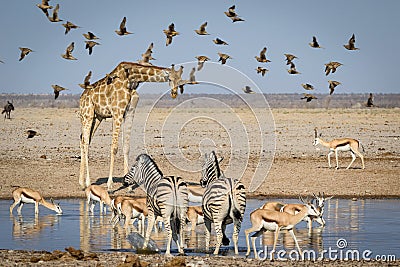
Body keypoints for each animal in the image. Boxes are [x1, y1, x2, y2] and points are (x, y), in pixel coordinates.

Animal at [79, 61, 189, 189]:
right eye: (170, 79)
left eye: (180, 81)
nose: (174, 93)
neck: (131, 78)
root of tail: (82, 97)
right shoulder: (117, 112)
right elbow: (114, 148)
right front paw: (110, 184)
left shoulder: (129, 112)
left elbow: (126, 147)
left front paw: (129, 184)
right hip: (88, 115)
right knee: (86, 142)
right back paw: (87, 182)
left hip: (97, 117)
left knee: (83, 140)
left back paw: (81, 182)